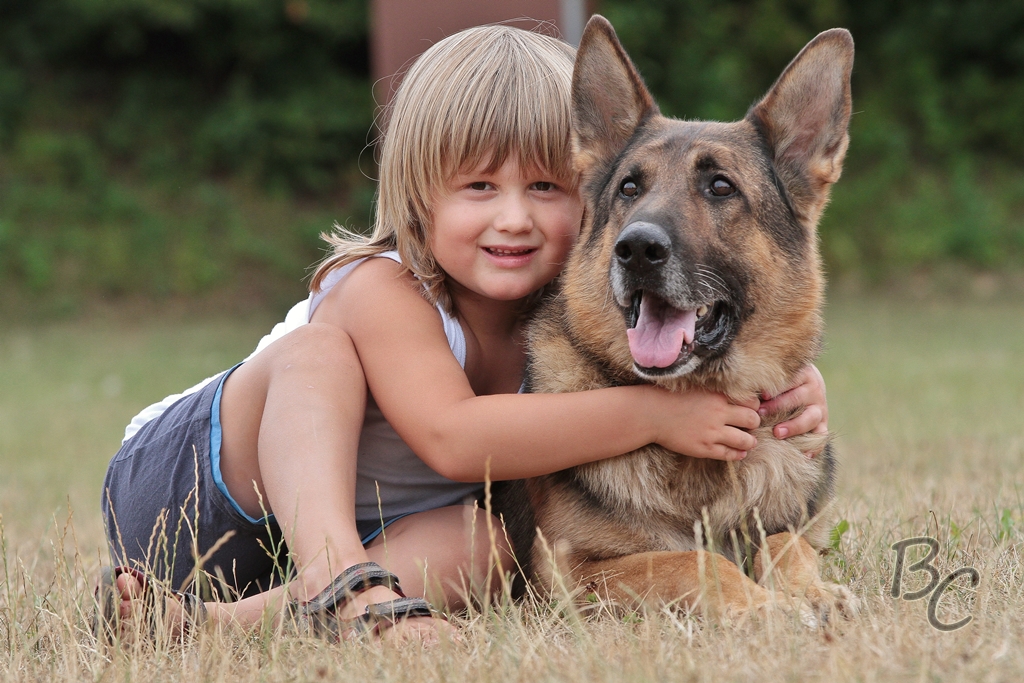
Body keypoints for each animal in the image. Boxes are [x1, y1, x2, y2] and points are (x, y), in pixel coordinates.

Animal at [495, 17, 856, 626]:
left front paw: (812, 591)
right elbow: (692, 561)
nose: (636, 249)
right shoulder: (568, 578)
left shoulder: (793, 526)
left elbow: (785, 541)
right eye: (629, 188)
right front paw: (763, 604)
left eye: (721, 187)